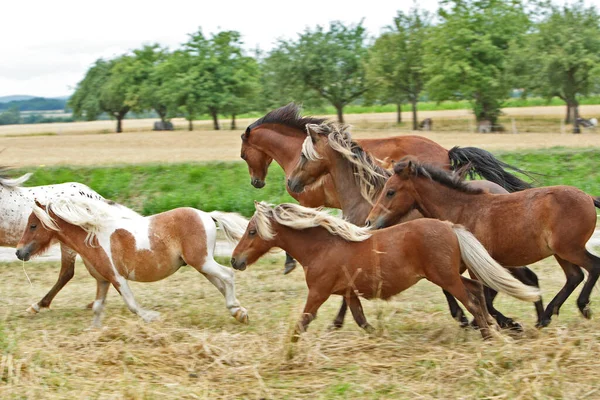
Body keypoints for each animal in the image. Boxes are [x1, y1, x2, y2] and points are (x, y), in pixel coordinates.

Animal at [0, 170, 106, 314]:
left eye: (33, 225)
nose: (19, 252)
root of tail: (96, 197)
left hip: (70, 244)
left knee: (67, 273)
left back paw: (37, 305)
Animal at [15, 197, 248, 328]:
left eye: (33, 225)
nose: (19, 252)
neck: (93, 237)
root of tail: (207, 215)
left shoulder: (117, 277)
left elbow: (132, 304)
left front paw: (152, 318)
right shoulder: (103, 280)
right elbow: (97, 307)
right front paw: (94, 332)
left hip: (203, 262)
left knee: (228, 275)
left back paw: (237, 309)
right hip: (202, 265)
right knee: (221, 284)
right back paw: (239, 313)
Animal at [229, 203, 540, 340]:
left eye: (252, 231)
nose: (235, 260)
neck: (322, 247)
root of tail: (449, 227)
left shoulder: (318, 292)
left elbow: (303, 322)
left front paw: (288, 349)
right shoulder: (349, 293)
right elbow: (360, 320)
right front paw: (378, 336)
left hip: (446, 278)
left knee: (472, 301)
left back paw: (488, 334)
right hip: (451, 276)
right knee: (477, 292)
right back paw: (492, 327)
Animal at [366, 159, 600, 328]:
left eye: (390, 192)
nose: (370, 221)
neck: (462, 210)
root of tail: (588, 197)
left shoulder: (474, 265)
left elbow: (483, 297)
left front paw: (507, 324)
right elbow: (474, 294)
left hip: (570, 249)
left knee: (592, 267)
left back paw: (581, 307)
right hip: (560, 252)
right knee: (574, 276)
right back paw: (546, 317)